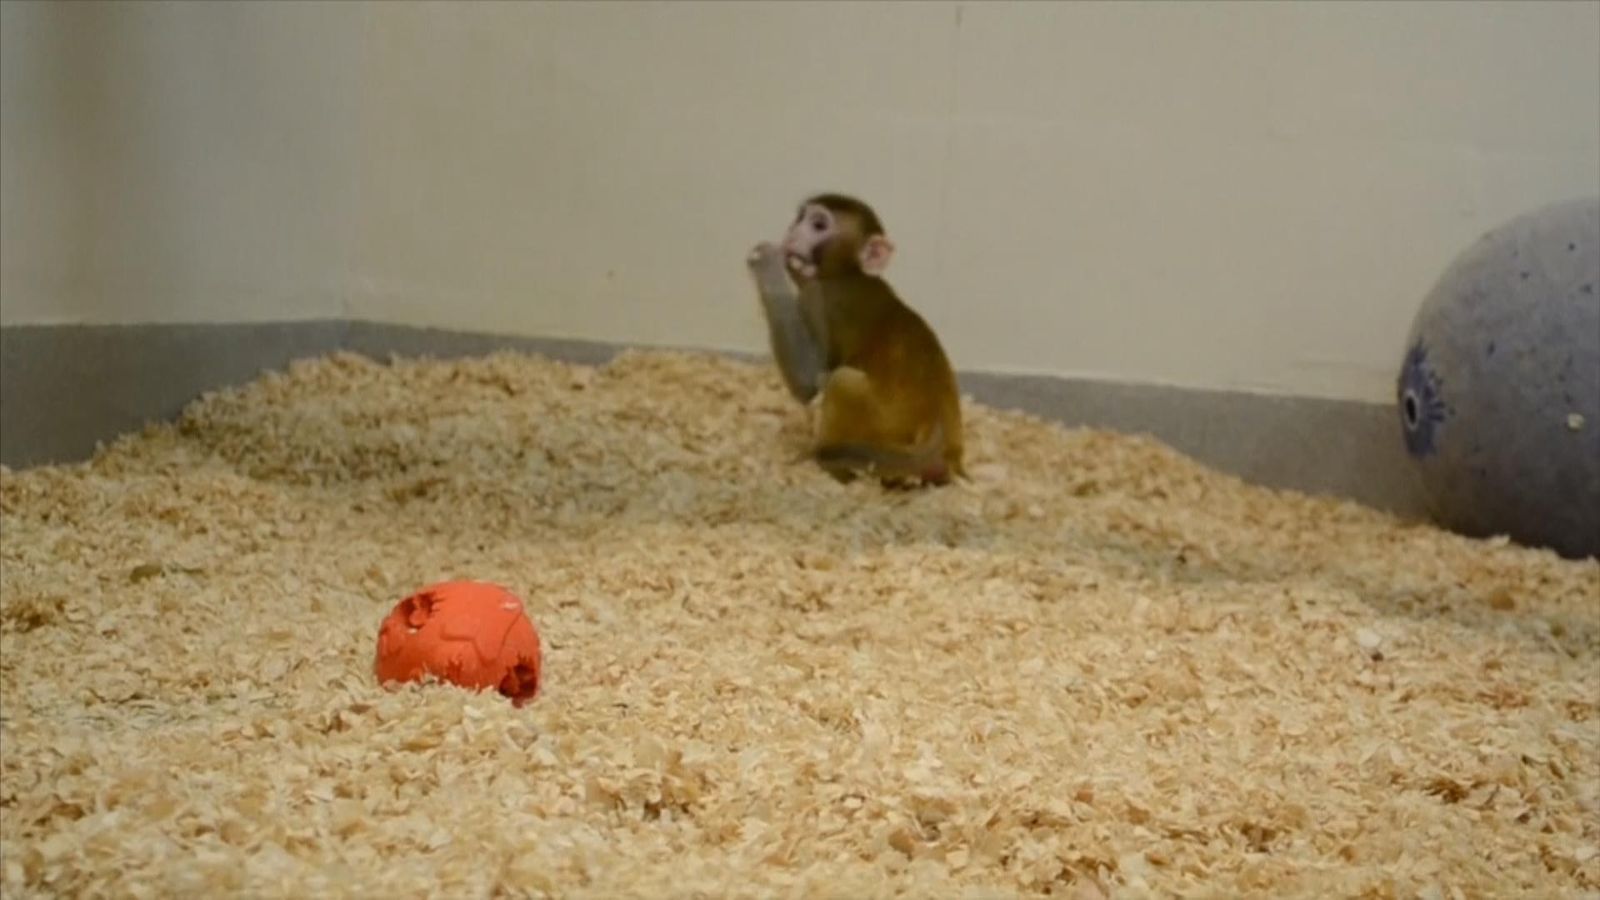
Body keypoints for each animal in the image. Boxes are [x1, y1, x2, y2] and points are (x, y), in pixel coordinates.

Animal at [746, 193, 965, 487]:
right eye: (800, 218)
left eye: (818, 225)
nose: (792, 233)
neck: (849, 273)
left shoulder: (818, 297)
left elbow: (808, 382)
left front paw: (766, 261)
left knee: (840, 381)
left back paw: (828, 462)